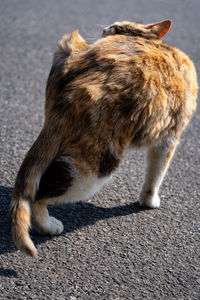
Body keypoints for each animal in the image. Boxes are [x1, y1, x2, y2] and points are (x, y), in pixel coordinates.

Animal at [8, 19, 198, 258]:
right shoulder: (169, 140)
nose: (106, 26)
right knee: (39, 196)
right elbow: (156, 176)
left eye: (117, 26)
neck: (158, 44)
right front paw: (149, 201)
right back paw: (49, 227)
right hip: (95, 166)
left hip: (64, 49)